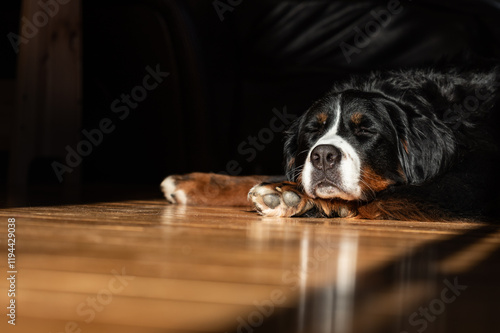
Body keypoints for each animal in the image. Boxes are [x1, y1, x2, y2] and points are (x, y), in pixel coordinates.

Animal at [162, 64, 498, 220]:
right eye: (313, 130)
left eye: (366, 131)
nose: (323, 155)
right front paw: (193, 183)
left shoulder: (464, 189)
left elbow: (377, 196)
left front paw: (291, 197)